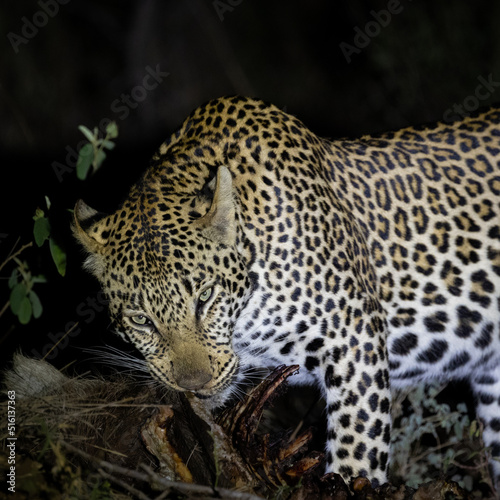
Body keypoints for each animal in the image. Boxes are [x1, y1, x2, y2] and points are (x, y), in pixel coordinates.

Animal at [73, 94, 500, 488]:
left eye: (205, 297)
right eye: (141, 320)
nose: (194, 385)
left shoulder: (355, 335)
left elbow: (358, 446)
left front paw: (349, 480)